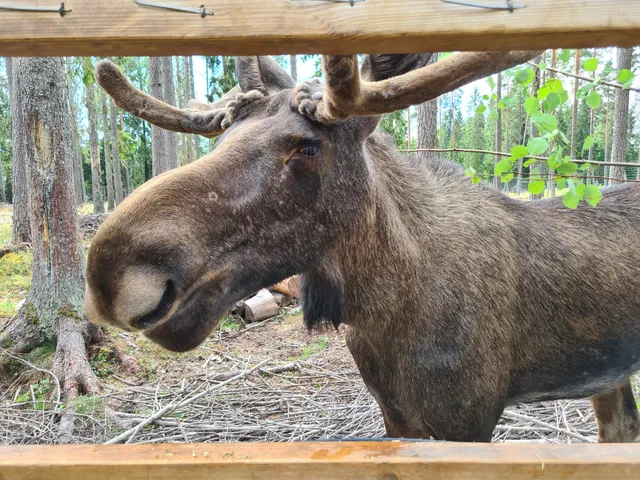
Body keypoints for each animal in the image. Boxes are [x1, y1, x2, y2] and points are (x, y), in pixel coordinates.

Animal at [85, 51, 640, 443]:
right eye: (222, 137)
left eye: (309, 146)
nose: (112, 275)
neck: (384, 307)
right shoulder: (395, 414)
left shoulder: (471, 417)